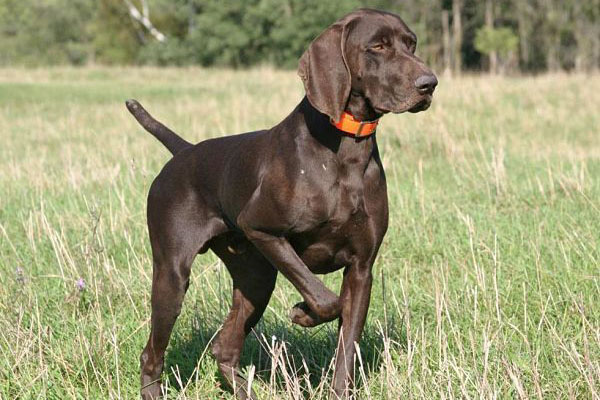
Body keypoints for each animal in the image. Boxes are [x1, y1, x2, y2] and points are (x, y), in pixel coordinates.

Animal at [127, 7, 436, 398]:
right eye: (377, 46)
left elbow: (346, 347)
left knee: (224, 348)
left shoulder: (361, 268)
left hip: (256, 278)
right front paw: (303, 313)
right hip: (173, 275)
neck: (346, 150)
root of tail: (184, 152)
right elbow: (326, 300)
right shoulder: (260, 228)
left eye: (411, 44)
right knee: (152, 352)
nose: (429, 83)